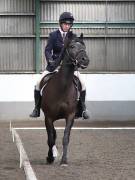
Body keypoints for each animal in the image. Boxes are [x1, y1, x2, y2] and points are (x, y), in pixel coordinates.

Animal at [40, 31, 89, 166]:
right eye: (72, 46)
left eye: (84, 46)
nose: (85, 60)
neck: (62, 87)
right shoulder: (48, 117)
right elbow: (51, 139)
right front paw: (50, 158)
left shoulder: (70, 116)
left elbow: (66, 137)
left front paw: (64, 160)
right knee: (52, 136)